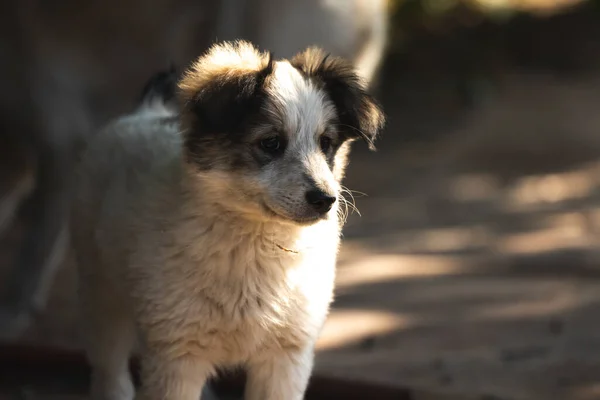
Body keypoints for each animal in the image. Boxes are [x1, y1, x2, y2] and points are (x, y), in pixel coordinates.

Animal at [70, 41, 386, 400]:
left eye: (326, 143)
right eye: (271, 143)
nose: (325, 200)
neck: (255, 242)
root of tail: (145, 113)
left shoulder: (285, 356)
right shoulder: (176, 355)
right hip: (101, 291)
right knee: (110, 370)